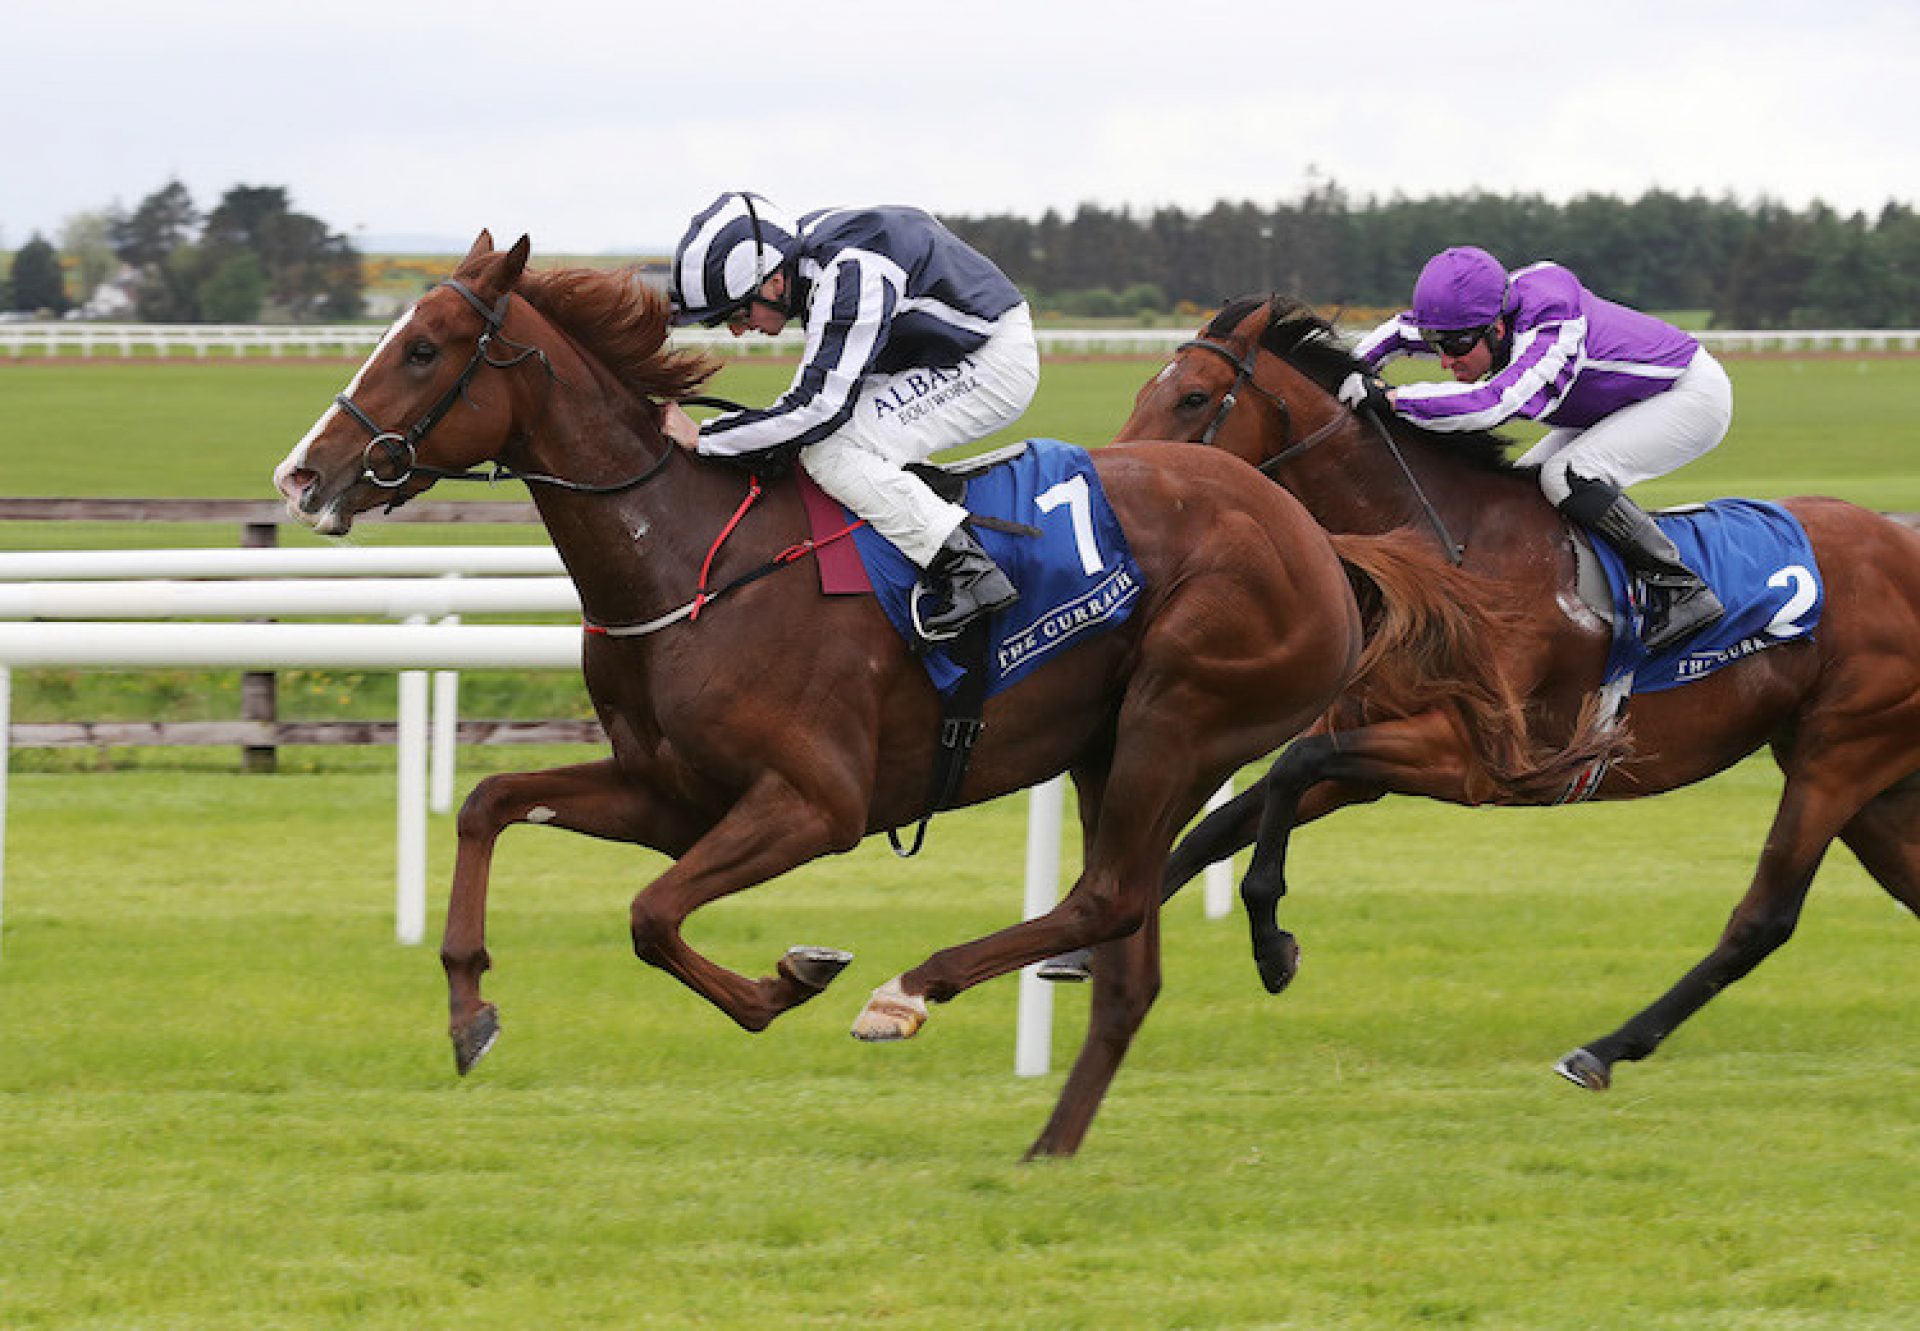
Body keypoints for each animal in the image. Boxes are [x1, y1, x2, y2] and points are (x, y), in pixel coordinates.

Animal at [278, 236, 1374, 1152]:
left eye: (423, 349)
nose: (302, 476)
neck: (689, 560)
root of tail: (1313, 537)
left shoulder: (816, 802)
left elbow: (650, 913)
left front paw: (789, 979)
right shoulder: (670, 795)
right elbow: (489, 802)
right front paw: (469, 1009)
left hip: (1175, 716)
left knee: (1104, 896)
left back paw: (908, 991)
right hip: (1109, 747)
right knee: (1126, 955)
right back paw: (1049, 1145)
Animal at [1105, 295, 1920, 1098]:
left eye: (1194, 397)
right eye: (1144, 390)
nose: (1122, 479)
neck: (1446, 553)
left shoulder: (1476, 757)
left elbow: (1290, 766)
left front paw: (1273, 948)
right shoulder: (1366, 753)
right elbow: (1221, 824)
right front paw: (1088, 946)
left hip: (1839, 755)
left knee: (1764, 918)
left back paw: (1603, 1049)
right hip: (1872, 787)